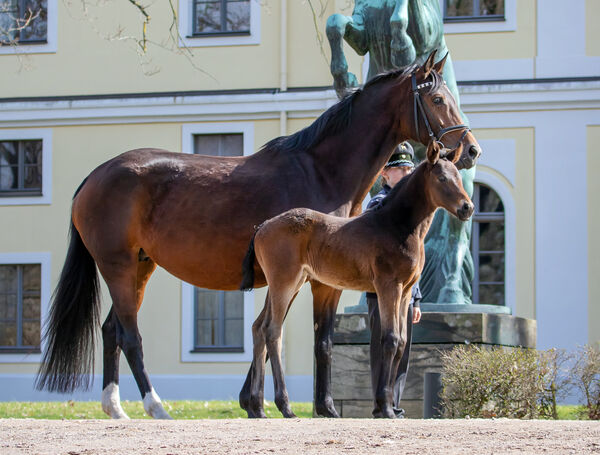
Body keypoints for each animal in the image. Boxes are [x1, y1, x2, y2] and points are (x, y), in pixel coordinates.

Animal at [240, 143, 474, 420]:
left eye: (459, 176)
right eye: (442, 178)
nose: (467, 208)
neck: (395, 225)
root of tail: (263, 226)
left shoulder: (406, 292)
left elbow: (402, 342)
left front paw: (389, 406)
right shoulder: (388, 287)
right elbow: (390, 339)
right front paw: (385, 407)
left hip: (287, 285)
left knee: (259, 328)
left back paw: (258, 408)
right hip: (284, 283)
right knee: (273, 332)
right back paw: (285, 406)